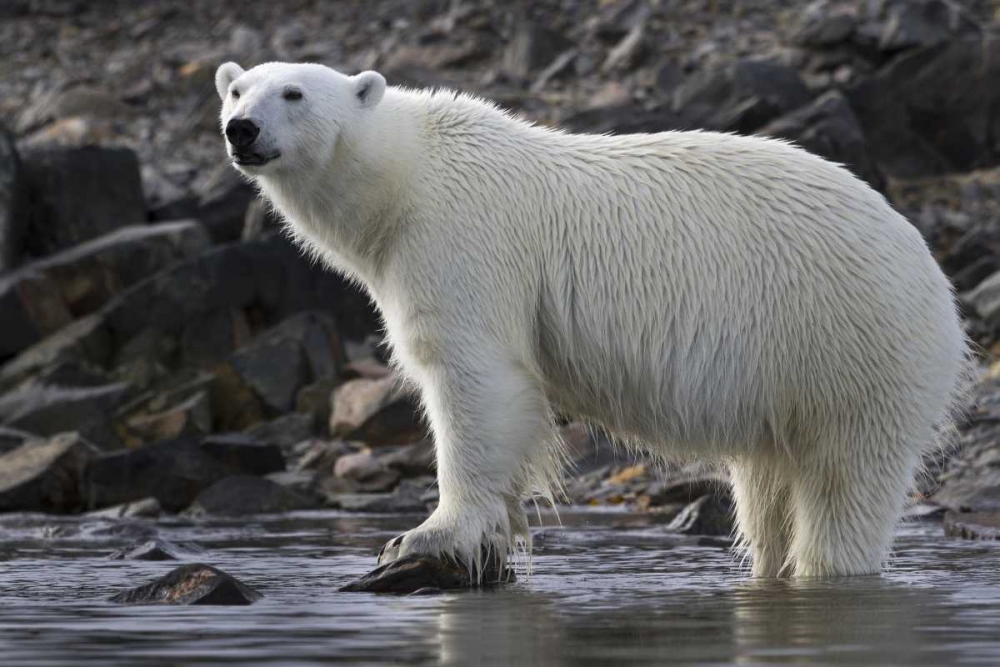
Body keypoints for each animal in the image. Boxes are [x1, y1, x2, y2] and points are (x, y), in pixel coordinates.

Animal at [215, 61, 970, 579]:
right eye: (237, 89)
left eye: (294, 93)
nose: (241, 129)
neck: (406, 177)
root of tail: (938, 284)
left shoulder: (460, 238)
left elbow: (476, 376)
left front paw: (426, 535)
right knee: (768, 487)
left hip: (848, 339)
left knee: (845, 482)